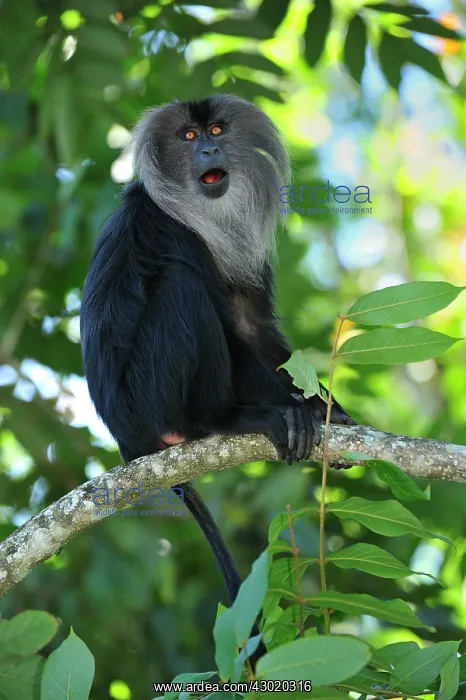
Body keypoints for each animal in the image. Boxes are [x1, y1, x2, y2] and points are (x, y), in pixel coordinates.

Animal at [80, 95, 353, 659]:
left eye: (216, 131)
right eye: (188, 137)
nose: (208, 149)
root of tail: (125, 439)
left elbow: (253, 328)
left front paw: (330, 410)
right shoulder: (169, 229)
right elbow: (231, 333)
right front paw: (293, 412)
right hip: (149, 398)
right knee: (181, 289)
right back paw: (229, 421)